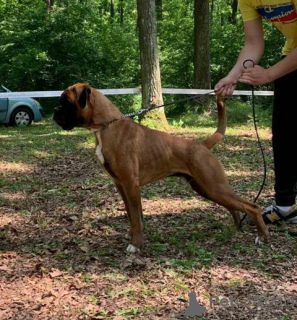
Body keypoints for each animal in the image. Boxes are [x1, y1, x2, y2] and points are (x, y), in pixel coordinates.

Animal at [53, 84, 268, 254]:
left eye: (65, 102)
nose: (55, 110)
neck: (106, 127)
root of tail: (202, 145)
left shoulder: (131, 185)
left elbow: (136, 217)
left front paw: (136, 245)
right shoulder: (121, 185)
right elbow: (132, 215)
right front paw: (134, 237)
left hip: (214, 186)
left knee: (252, 207)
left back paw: (262, 236)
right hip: (206, 188)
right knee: (235, 207)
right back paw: (234, 229)